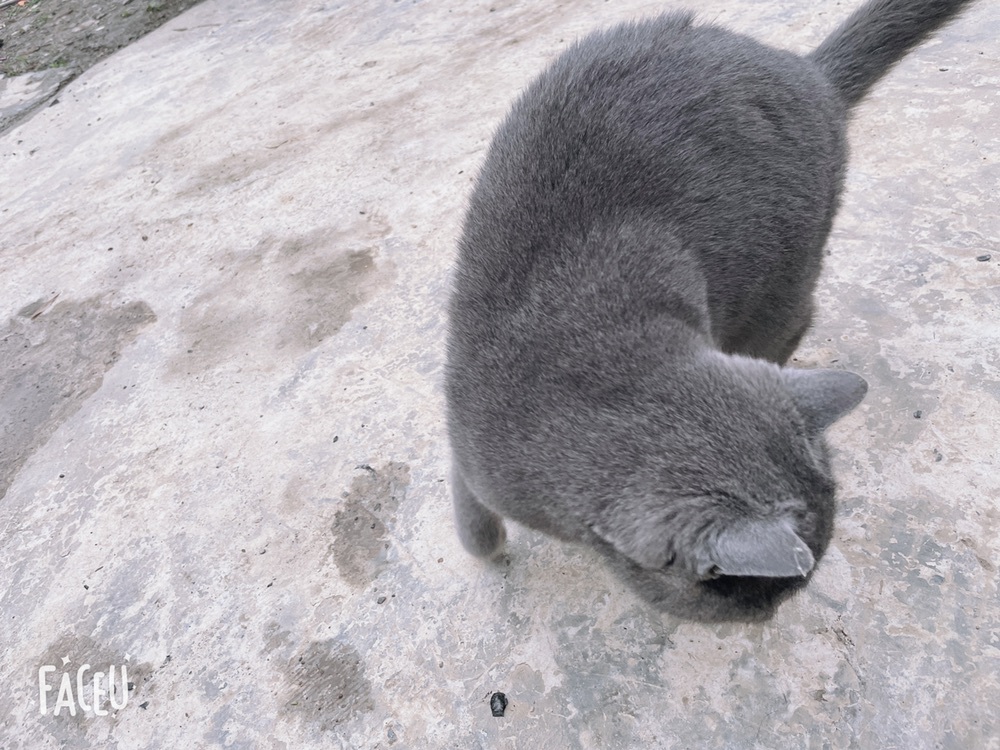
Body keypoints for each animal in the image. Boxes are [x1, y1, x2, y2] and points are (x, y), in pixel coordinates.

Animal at [448, 0, 976, 624]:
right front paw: (486, 547)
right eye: (753, 594)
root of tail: (809, 72)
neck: (580, 368)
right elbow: (469, 509)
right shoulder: (467, 438)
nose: (770, 614)